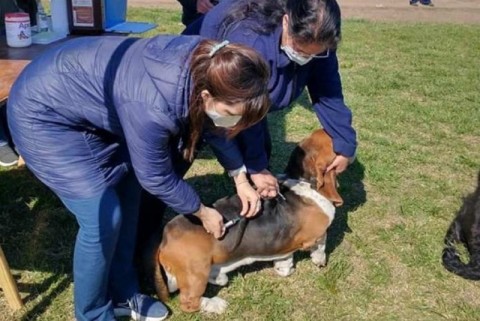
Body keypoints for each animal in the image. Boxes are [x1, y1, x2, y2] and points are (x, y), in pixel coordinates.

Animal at [152, 128, 344, 312]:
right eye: (331, 139)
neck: (303, 181)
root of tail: (164, 241)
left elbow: (285, 258)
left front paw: (284, 267)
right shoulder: (317, 234)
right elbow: (321, 245)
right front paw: (319, 260)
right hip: (196, 273)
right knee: (188, 303)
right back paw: (216, 305)